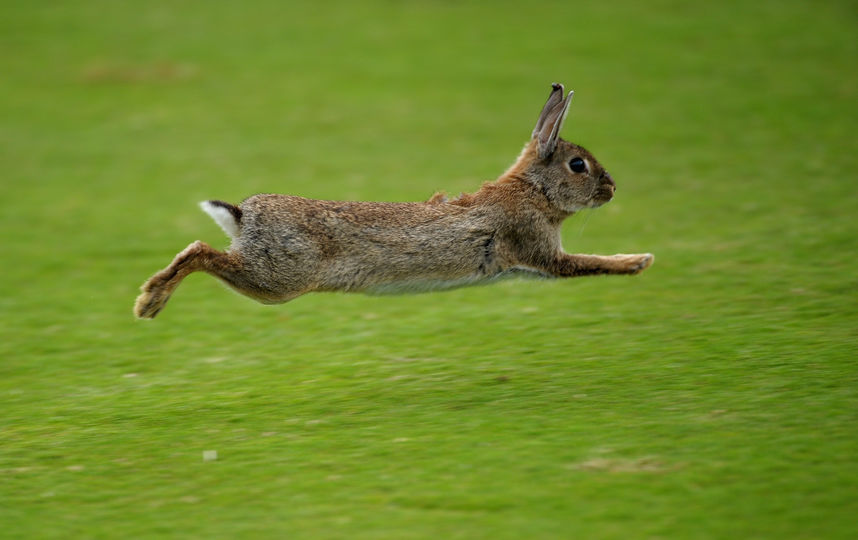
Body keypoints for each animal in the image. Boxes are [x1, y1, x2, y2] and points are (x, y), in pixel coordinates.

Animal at [134, 83, 652, 320]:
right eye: (578, 165)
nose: (612, 189)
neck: (533, 191)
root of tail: (245, 217)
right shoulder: (539, 250)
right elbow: (588, 264)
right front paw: (639, 262)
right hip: (278, 279)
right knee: (203, 253)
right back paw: (150, 302)